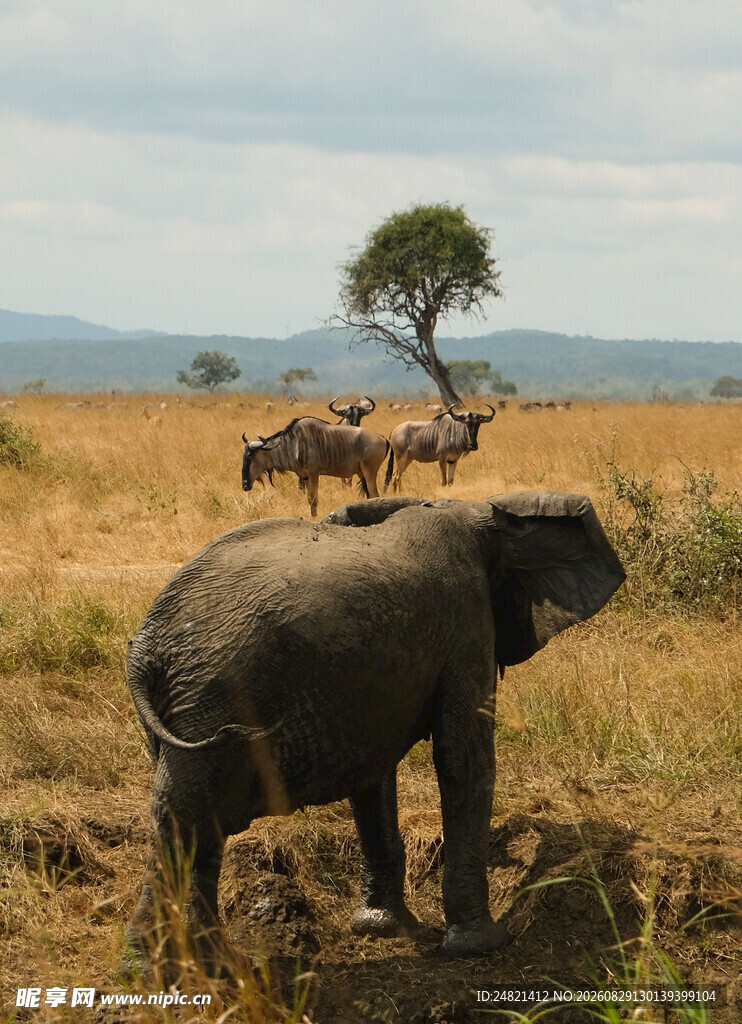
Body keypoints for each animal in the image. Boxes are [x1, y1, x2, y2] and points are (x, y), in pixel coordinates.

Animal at [124, 491, 624, 966]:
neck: (479, 513)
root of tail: (145, 647)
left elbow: (372, 778)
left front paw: (381, 927)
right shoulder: (466, 621)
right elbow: (462, 758)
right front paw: (483, 945)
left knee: (188, 822)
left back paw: (205, 964)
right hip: (216, 695)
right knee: (187, 816)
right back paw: (170, 966)